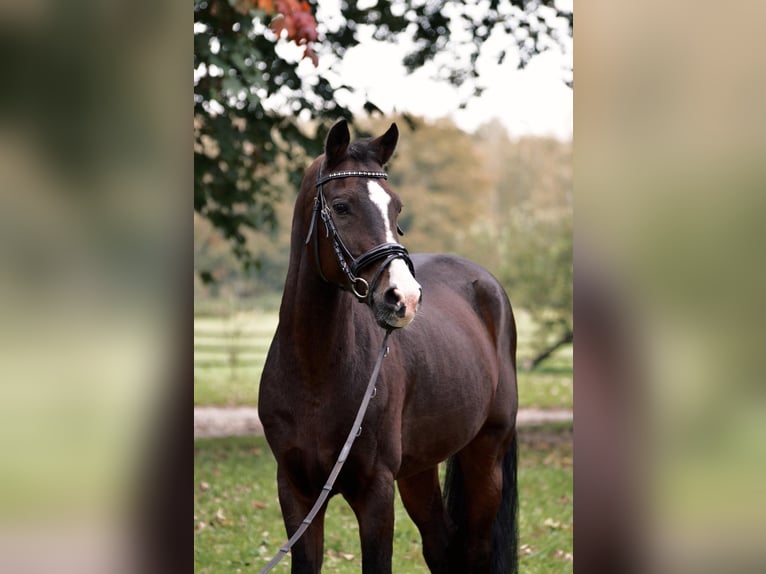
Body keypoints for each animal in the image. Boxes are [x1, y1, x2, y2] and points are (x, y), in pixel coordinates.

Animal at [260, 119, 520, 572]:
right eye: (341, 206)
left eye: (396, 208)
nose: (404, 297)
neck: (314, 372)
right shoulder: (296, 492)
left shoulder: (376, 494)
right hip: (419, 470)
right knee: (440, 545)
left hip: (486, 455)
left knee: (475, 549)